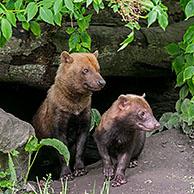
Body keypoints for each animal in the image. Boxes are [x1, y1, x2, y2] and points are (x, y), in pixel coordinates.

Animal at [33, 50, 106, 180]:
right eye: (85, 70)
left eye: (98, 68)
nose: (102, 82)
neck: (74, 105)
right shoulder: (58, 117)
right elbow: (61, 148)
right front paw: (66, 175)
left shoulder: (84, 115)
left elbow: (81, 146)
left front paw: (80, 170)